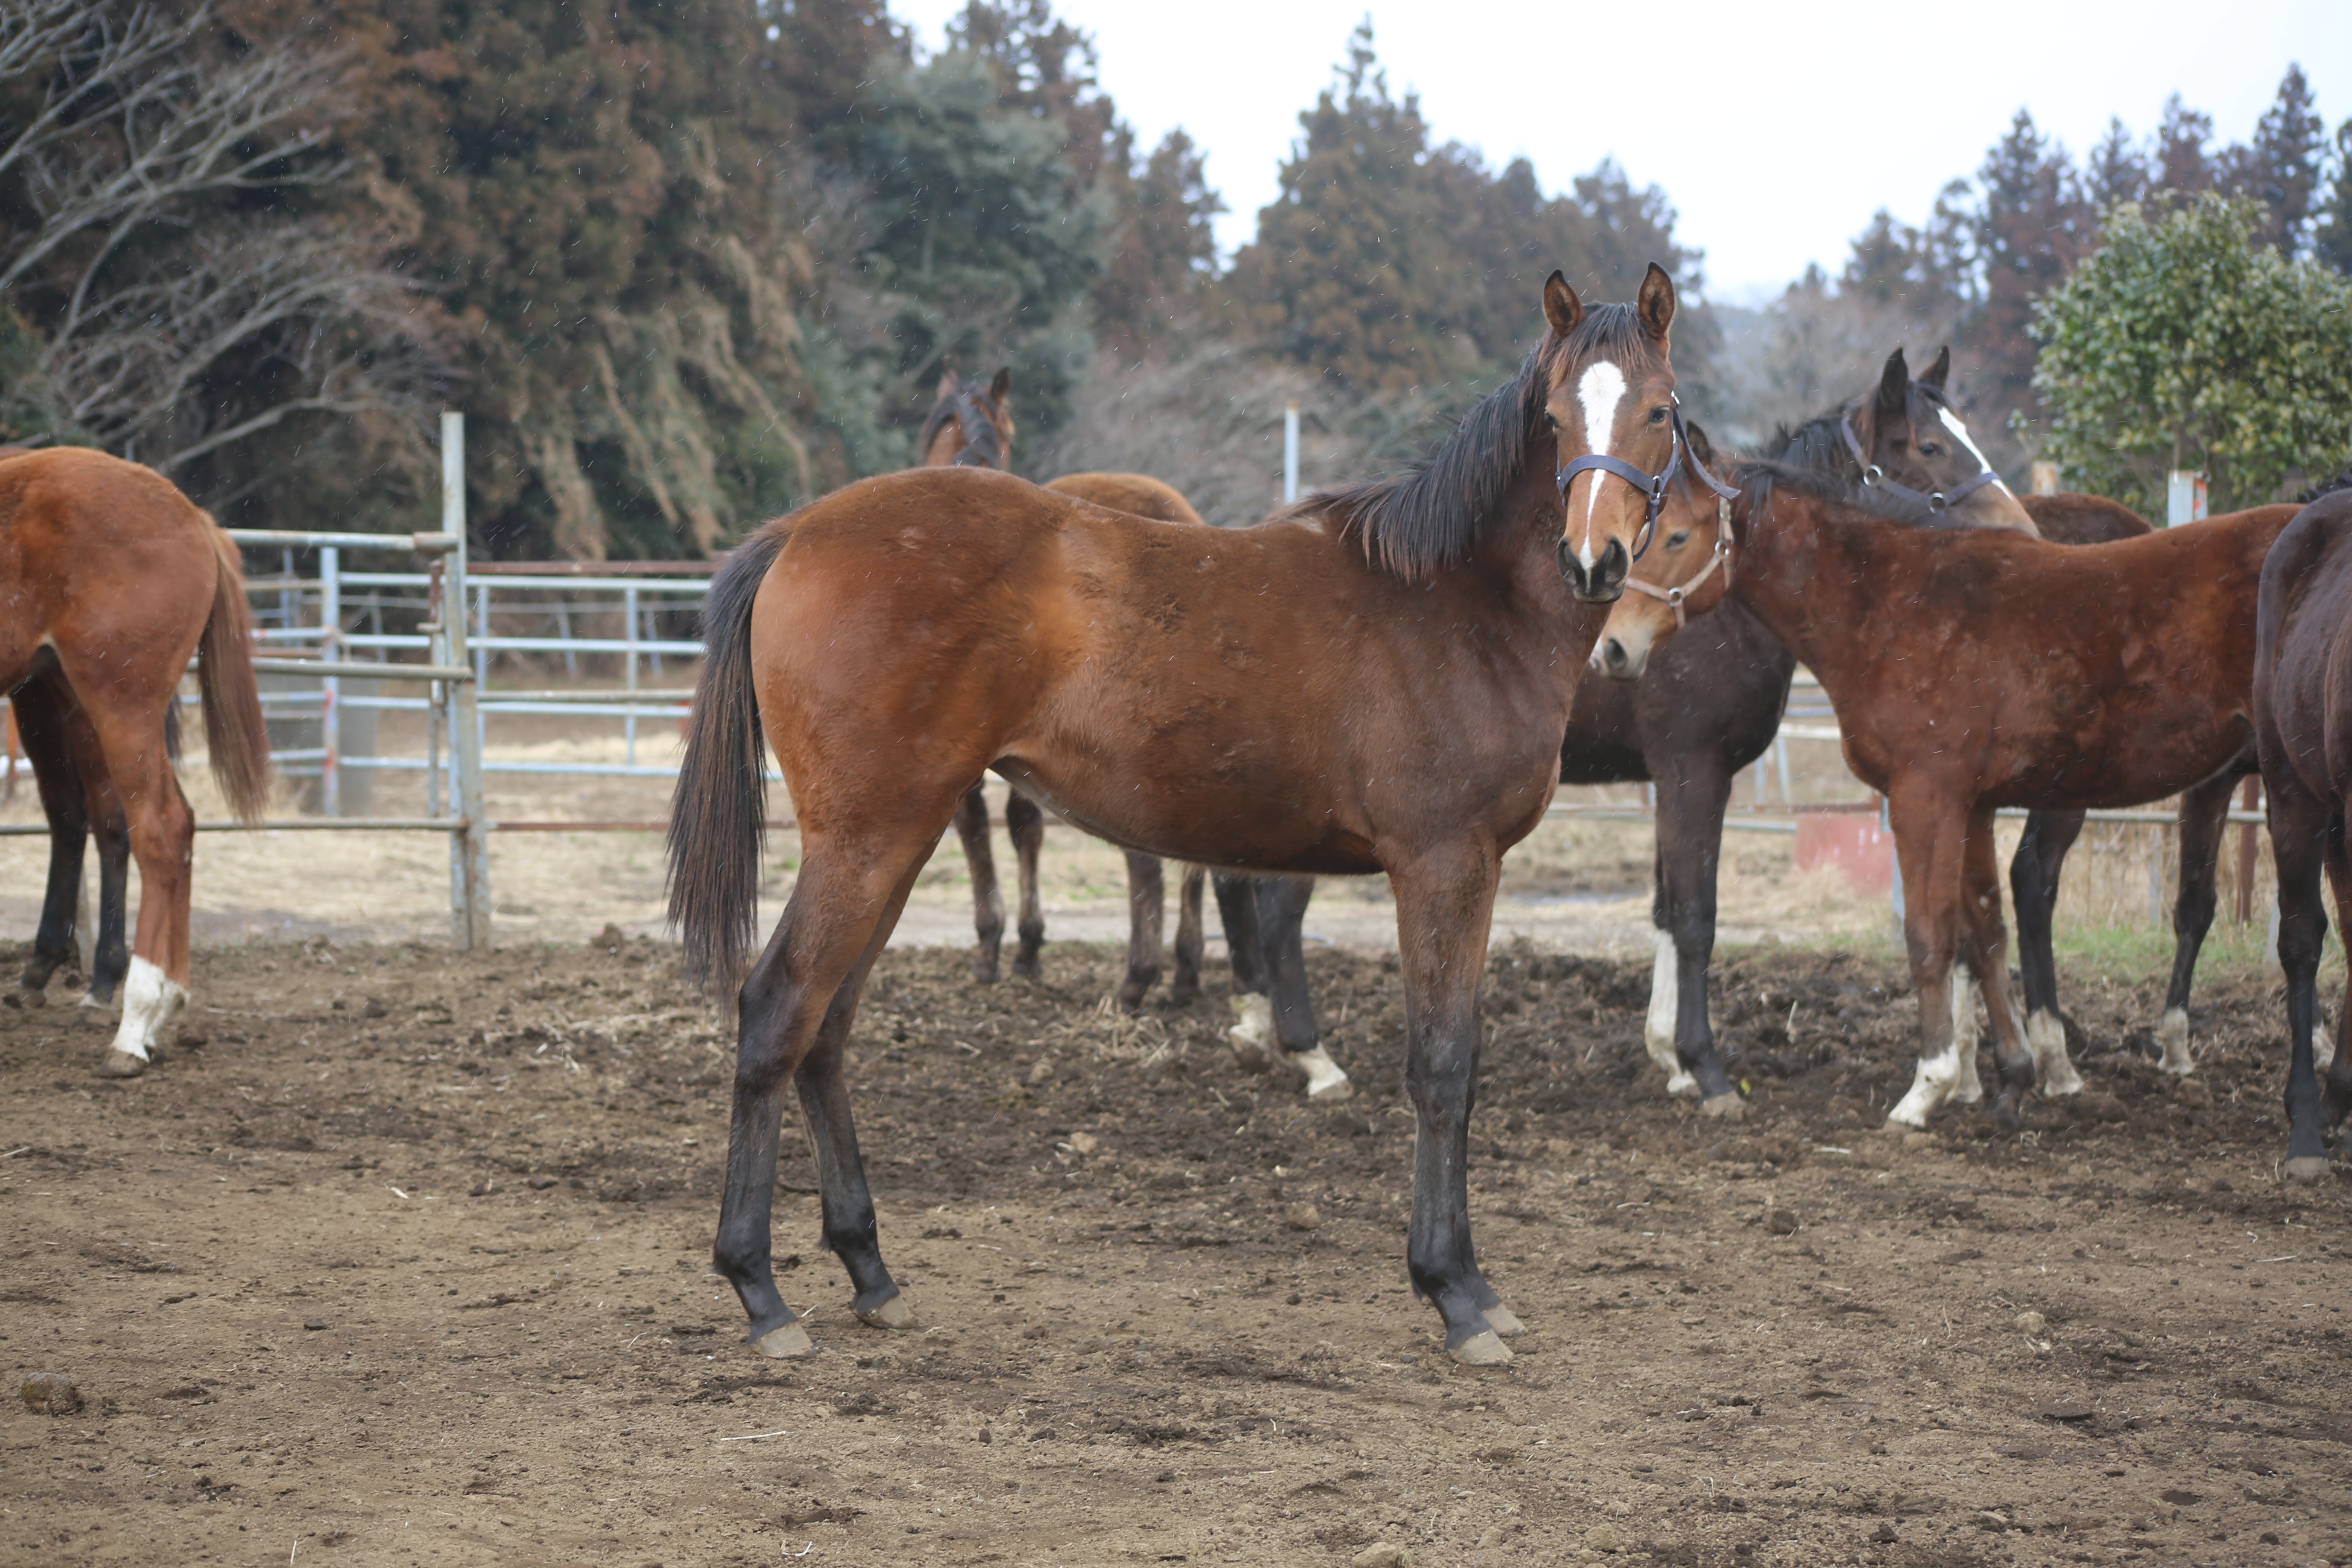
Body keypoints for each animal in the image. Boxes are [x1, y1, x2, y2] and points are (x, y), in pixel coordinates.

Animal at [0, 446, 269, 1072]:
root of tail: (194, 518)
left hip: (117, 706)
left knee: (156, 829)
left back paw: (133, 1021)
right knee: (173, 825)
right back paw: (163, 1008)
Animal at [677, 263, 1693, 1363]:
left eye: (1660, 410)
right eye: (1553, 417)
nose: (1592, 561)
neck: (1460, 604)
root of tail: (797, 531)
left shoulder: (1471, 868)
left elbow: (1456, 1063)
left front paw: (1472, 1284)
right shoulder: (1442, 864)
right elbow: (1440, 1067)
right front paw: (1453, 1293)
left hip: (896, 843)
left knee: (827, 1029)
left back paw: (868, 1268)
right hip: (863, 843)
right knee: (778, 1009)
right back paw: (759, 1290)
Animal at [1656, 465, 2295, 1128]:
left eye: (1674, 535)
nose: (1621, 642)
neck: (1889, 608)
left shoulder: (1930, 799)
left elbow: (1935, 935)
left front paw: (1934, 1085)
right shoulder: (1969, 804)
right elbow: (1982, 932)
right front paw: (2002, 1079)